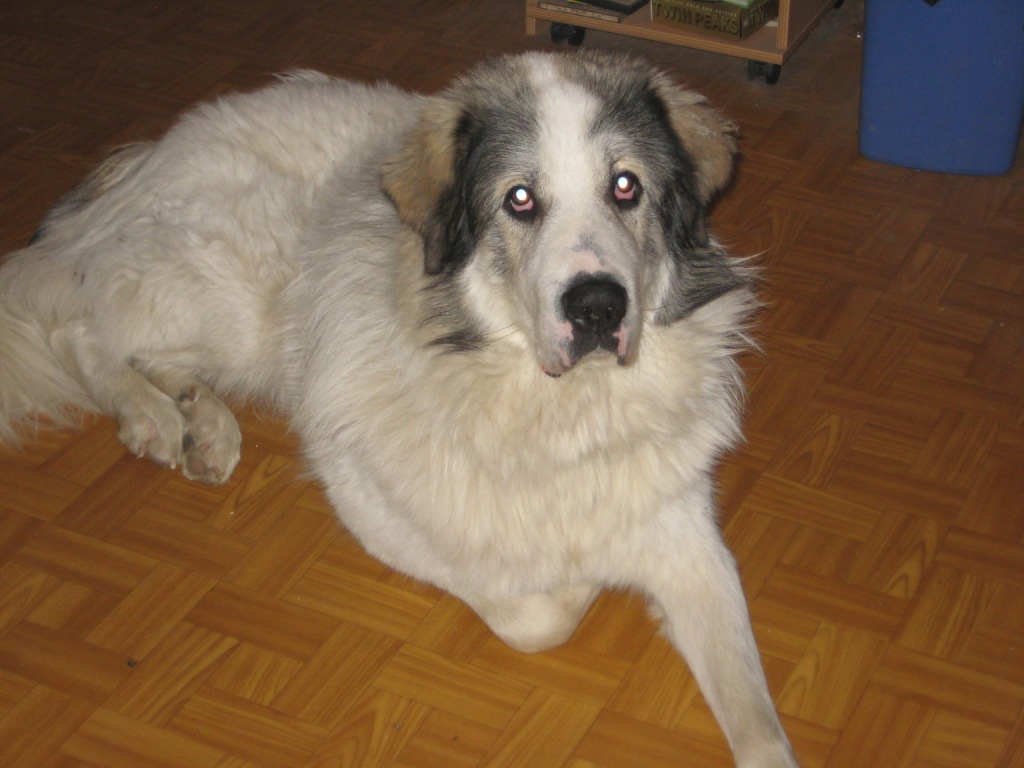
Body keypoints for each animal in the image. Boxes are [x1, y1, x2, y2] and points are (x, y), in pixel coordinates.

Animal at [0, 51, 798, 767]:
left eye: (626, 187)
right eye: (519, 200)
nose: (598, 306)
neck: (560, 409)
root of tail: (151, 153)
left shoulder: (692, 541)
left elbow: (759, 722)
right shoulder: (373, 498)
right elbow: (533, 611)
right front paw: (580, 580)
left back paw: (206, 424)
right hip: (226, 295)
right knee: (78, 320)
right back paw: (155, 417)